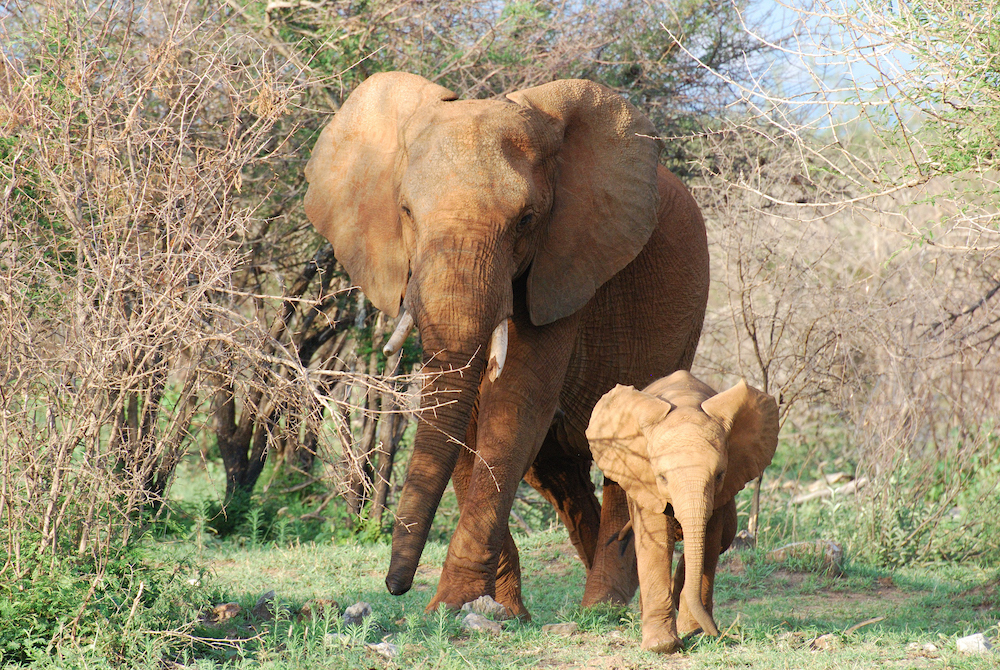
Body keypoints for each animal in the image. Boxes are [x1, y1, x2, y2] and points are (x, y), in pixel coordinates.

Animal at [304, 72, 712, 620]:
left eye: (526, 219)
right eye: (406, 212)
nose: (395, 587)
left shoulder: (565, 263)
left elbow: (514, 404)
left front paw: (452, 608)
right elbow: (466, 417)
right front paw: (494, 612)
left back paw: (602, 608)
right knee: (555, 470)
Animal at [584, 370, 780, 652]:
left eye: (719, 475)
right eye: (662, 477)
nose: (720, 634)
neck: (686, 402)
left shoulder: (722, 490)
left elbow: (708, 542)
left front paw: (694, 632)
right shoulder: (644, 480)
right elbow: (655, 542)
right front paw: (662, 646)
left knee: (720, 540)